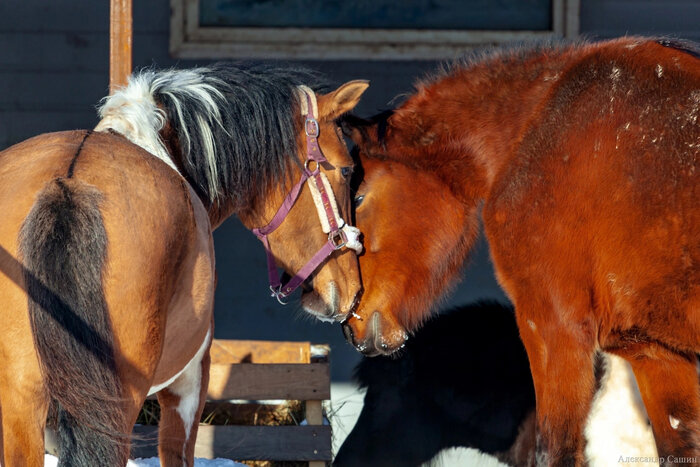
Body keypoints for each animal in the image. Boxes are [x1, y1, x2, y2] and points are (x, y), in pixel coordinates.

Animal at [344, 38, 700, 466]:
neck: (536, 126)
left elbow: (557, 450)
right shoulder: (656, 352)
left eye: (359, 198)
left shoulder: (552, 329)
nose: (350, 321)